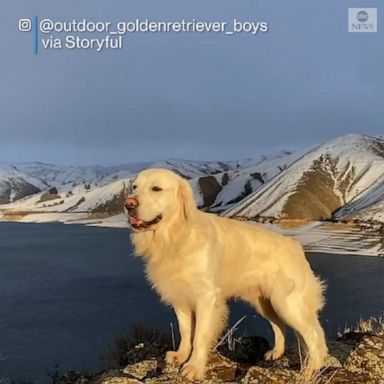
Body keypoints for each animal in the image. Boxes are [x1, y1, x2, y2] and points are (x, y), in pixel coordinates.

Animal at [124, 169, 328, 380]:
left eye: (156, 188)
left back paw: (310, 370)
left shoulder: (206, 297)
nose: (128, 204)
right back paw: (277, 352)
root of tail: (296, 246)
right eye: (134, 187)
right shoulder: (179, 297)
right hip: (265, 303)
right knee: (280, 326)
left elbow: (199, 336)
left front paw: (194, 367)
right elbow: (185, 330)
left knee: (314, 335)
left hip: (287, 303)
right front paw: (180, 355)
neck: (176, 237)